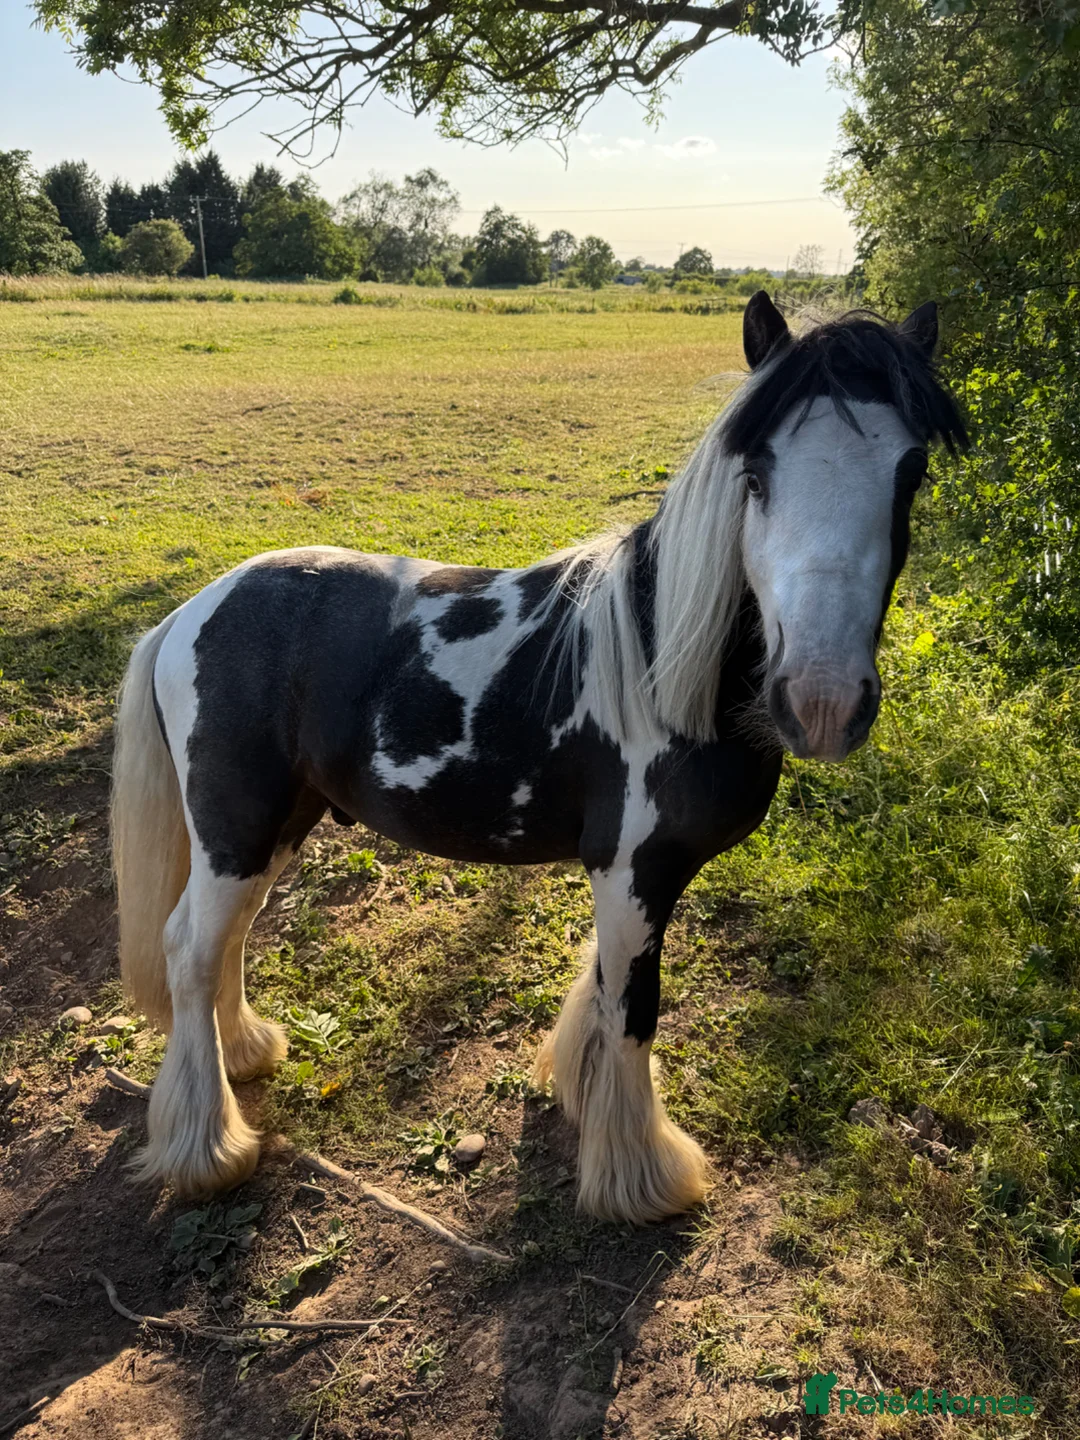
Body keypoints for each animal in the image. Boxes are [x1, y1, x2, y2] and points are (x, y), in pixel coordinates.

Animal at [111, 292, 967, 1225]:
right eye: (756, 473)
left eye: (912, 471)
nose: (821, 701)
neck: (664, 666)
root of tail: (190, 612)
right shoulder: (633, 868)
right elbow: (633, 1009)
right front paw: (641, 1176)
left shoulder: (630, 874)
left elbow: (600, 989)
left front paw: (583, 1099)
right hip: (234, 828)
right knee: (190, 949)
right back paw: (210, 1147)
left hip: (275, 827)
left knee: (223, 940)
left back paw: (245, 1052)